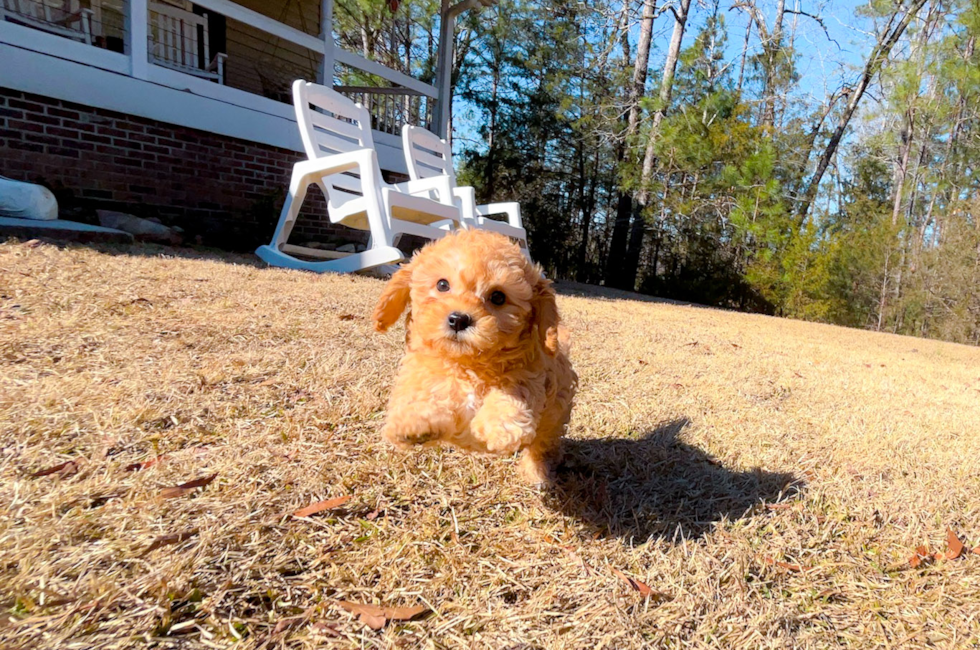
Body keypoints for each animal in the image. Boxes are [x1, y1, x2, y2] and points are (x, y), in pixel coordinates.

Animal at [374, 228, 576, 480]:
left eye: (498, 297)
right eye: (442, 285)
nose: (459, 319)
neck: (468, 363)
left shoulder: (531, 378)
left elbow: (513, 393)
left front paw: (500, 427)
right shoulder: (420, 371)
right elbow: (419, 391)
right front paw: (413, 422)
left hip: (554, 416)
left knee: (541, 445)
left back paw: (536, 473)